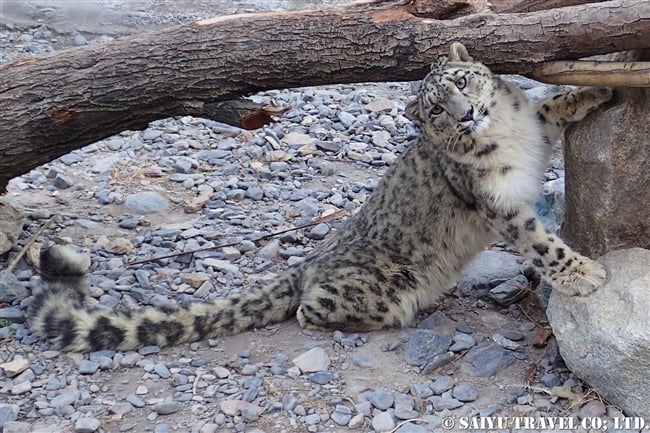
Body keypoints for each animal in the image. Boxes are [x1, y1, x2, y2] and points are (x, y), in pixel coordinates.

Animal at [27, 42, 612, 350]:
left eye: (463, 83)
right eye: (436, 109)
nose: (467, 115)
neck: (506, 135)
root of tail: (307, 263)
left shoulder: (533, 127)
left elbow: (553, 105)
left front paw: (599, 89)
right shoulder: (498, 205)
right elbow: (539, 241)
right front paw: (585, 274)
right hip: (375, 285)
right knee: (312, 311)